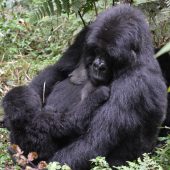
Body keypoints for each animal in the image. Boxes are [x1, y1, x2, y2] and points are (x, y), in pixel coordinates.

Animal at [1, 4, 167, 169]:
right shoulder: (85, 35)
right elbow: (58, 70)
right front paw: (14, 117)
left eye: (109, 55)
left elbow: (93, 143)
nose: (98, 66)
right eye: (97, 50)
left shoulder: (135, 84)